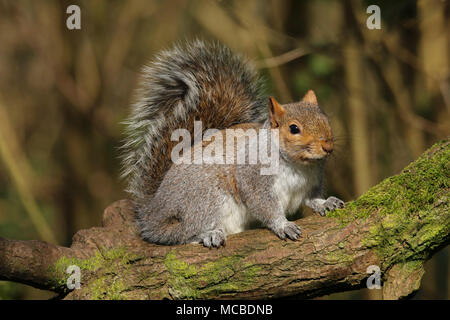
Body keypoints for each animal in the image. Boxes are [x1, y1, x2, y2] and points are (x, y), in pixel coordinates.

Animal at [121, 39, 342, 248]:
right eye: (294, 128)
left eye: (325, 118)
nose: (328, 147)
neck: (299, 164)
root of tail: (153, 212)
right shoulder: (252, 177)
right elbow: (264, 205)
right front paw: (283, 225)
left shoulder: (311, 182)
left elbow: (311, 198)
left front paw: (326, 202)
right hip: (204, 199)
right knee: (178, 233)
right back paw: (206, 234)